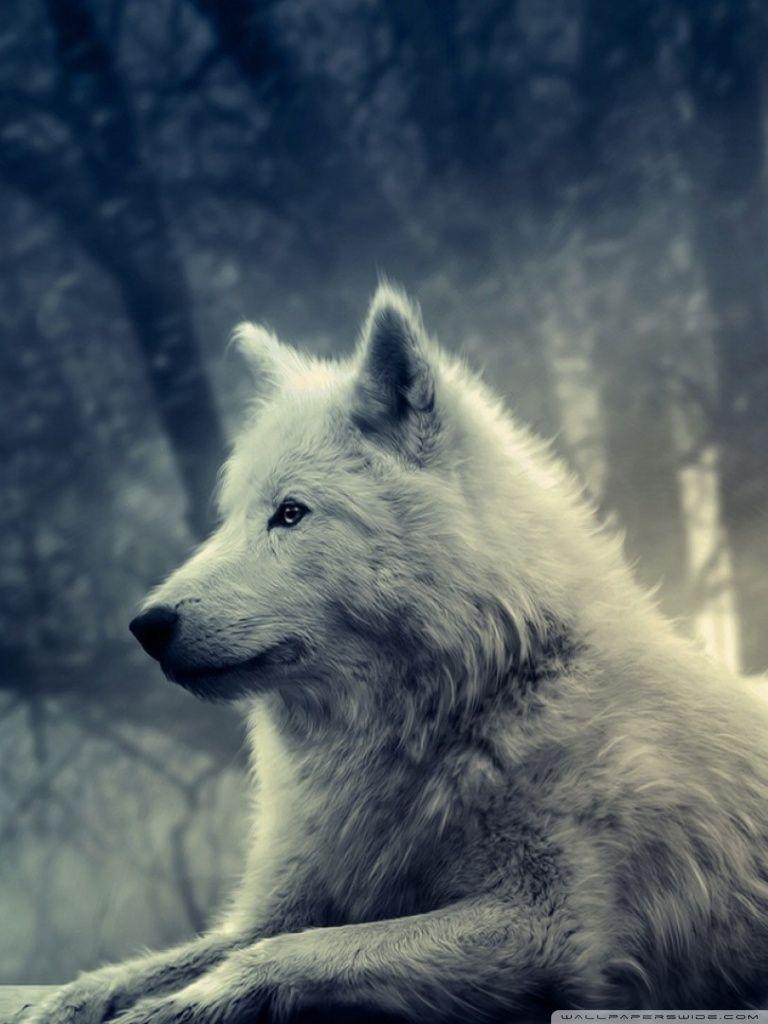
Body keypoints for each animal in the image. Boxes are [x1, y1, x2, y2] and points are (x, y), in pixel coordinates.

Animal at [24, 286, 768, 1023]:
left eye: (289, 513)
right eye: (229, 518)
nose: (146, 625)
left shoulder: (549, 928)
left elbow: (289, 953)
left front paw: (177, 1006)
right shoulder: (281, 905)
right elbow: (162, 962)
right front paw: (67, 1000)